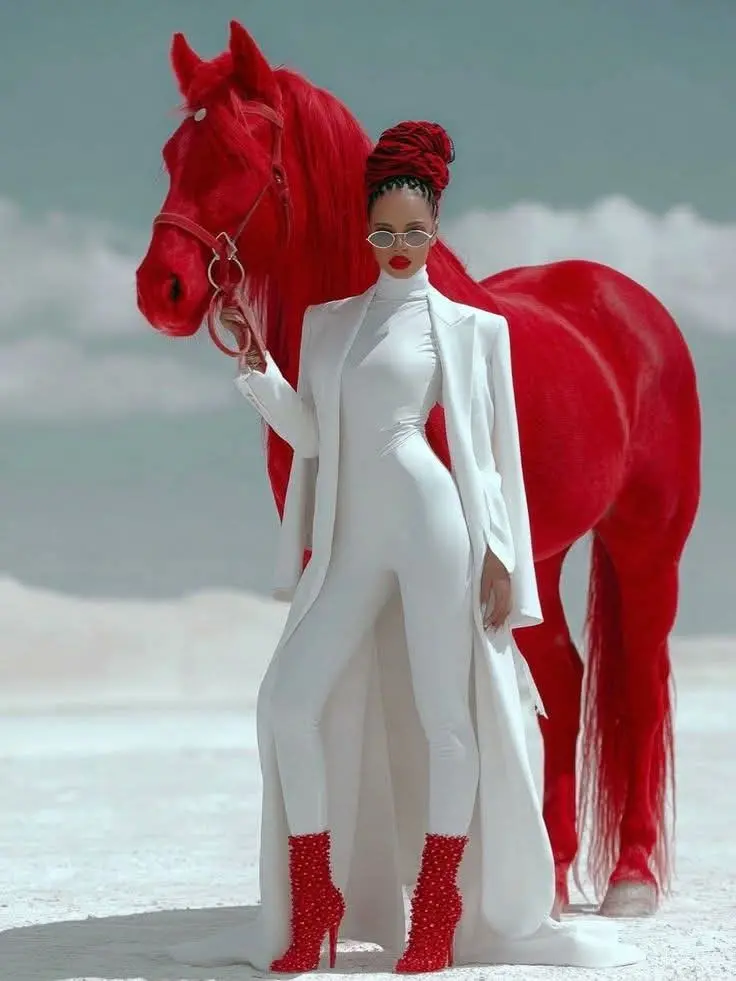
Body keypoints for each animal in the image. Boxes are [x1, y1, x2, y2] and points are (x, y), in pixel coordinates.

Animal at [136, 20, 701, 918]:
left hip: (646, 545)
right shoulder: (328, 550)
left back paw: (631, 880)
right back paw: (548, 876)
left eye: (237, 152)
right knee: (565, 679)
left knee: (639, 692)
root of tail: (633, 307)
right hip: (534, 555)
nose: (162, 288)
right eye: (170, 152)